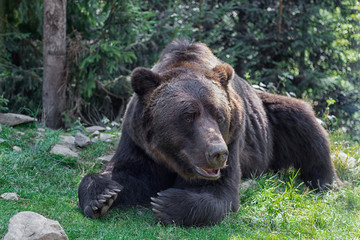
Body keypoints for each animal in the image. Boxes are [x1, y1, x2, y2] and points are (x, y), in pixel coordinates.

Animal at [77, 39, 338, 227]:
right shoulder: (138, 140)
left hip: (271, 123)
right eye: (188, 116)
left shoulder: (233, 138)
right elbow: (127, 173)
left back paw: (327, 183)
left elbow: (220, 193)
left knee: (303, 122)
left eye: (219, 115)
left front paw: (168, 202)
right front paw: (102, 195)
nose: (217, 153)